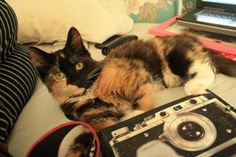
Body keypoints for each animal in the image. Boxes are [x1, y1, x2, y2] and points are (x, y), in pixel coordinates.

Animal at [28, 27, 236, 131]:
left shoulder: (137, 75)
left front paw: (136, 117)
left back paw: (194, 87)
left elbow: (144, 105)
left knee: (206, 66)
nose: (76, 81)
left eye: (78, 65)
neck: (93, 92)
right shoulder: (94, 120)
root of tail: (194, 39)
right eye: (59, 75)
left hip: (178, 56)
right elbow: (106, 126)